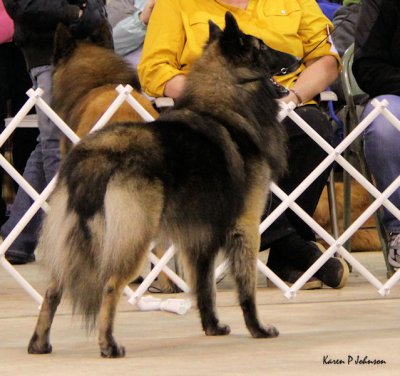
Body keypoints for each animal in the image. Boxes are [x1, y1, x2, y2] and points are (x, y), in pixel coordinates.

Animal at [28, 12, 296, 358]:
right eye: (262, 47)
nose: (298, 57)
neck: (226, 100)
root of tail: (96, 156)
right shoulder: (246, 225)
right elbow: (246, 288)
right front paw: (258, 329)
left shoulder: (200, 236)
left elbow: (204, 287)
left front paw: (212, 326)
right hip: (133, 237)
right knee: (111, 286)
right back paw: (108, 344)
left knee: (52, 290)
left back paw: (39, 343)